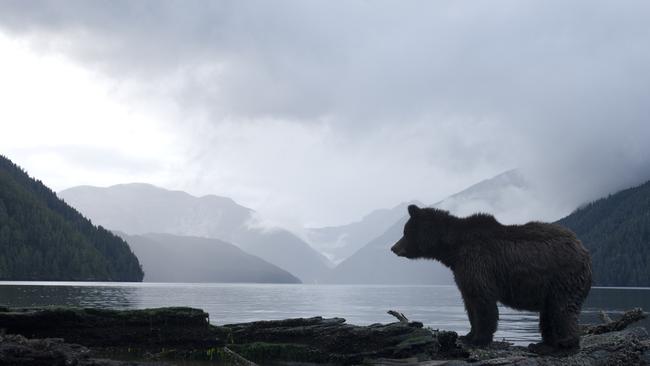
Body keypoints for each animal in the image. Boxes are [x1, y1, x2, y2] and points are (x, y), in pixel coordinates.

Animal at [390, 204, 592, 354]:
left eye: (405, 231)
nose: (393, 248)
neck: (453, 249)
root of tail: (583, 250)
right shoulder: (462, 270)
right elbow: (469, 302)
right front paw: (468, 335)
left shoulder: (478, 262)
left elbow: (483, 302)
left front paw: (479, 339)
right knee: (549, 313)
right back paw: (542, 344)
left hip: (563, 277)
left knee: (563, 309)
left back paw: (564, 344)